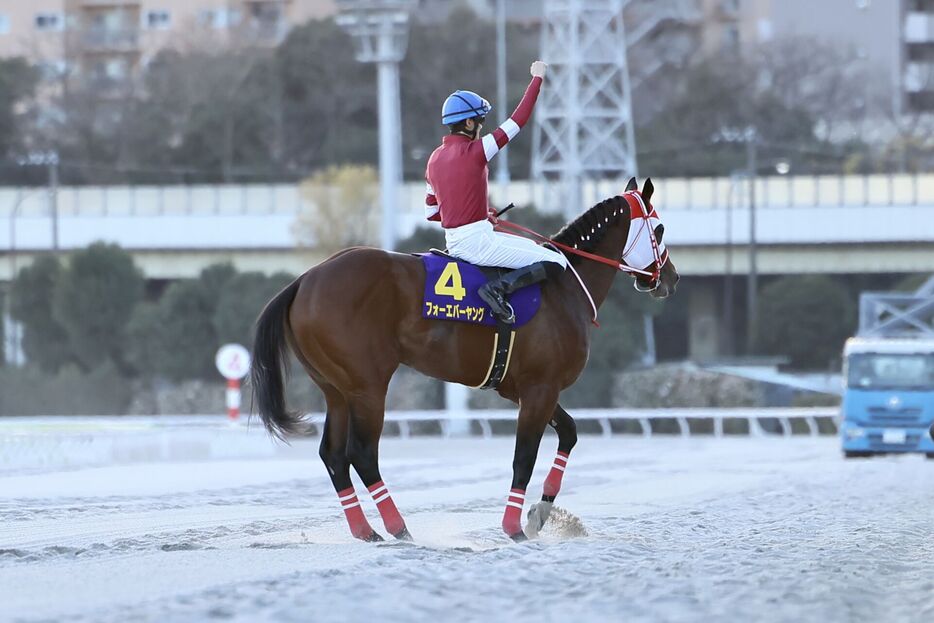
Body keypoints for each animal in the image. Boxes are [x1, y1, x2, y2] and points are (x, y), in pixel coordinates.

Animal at [252, 176, 684, 540]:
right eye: (660, 228)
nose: (672, 279)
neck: (564, 286)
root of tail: (304, 279)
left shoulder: (528, 389)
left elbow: (570, 433)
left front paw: (539, 513)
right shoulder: (540, 389)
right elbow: (524, 457)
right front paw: (513, 527)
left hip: (337, 390)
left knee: (333, 455)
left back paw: (365, 530)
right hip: (368, 386)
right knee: (361, 453)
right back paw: (398, 528)